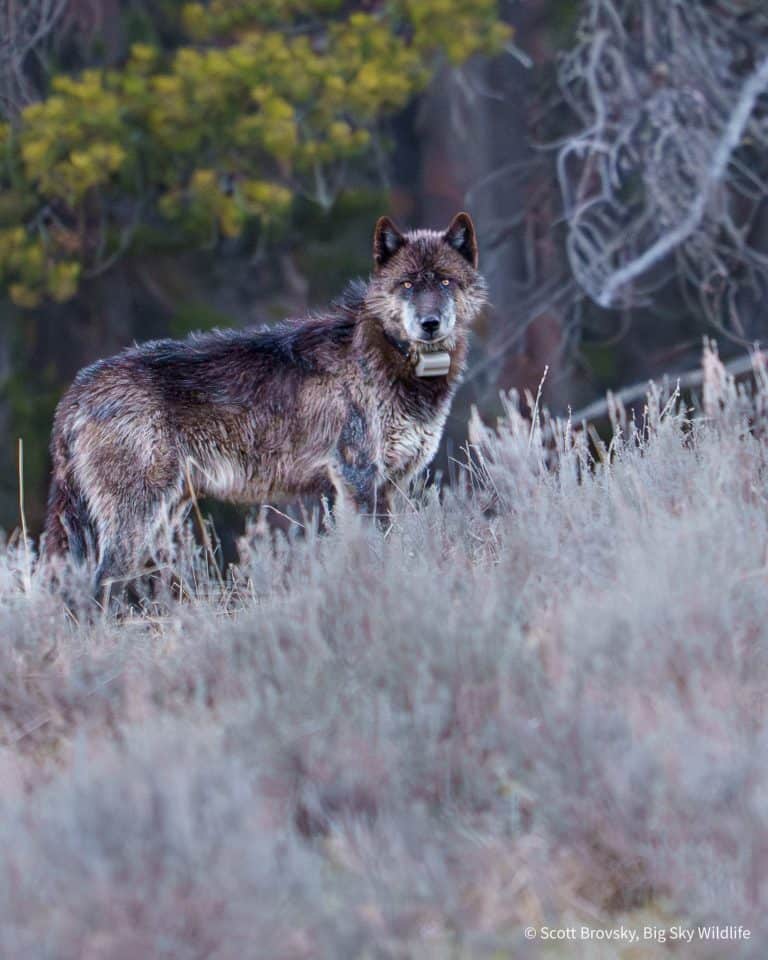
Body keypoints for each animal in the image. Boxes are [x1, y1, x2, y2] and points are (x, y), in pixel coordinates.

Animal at [43, 212, 487, 589]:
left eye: (445, 282)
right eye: (408, 285)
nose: (429, 324)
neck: (388, 355)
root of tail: (76, 390)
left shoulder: (390, 486)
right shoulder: (357, 478)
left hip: (162, 518)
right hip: (136, 521)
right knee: (98, 586)